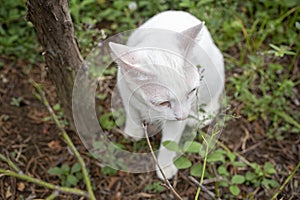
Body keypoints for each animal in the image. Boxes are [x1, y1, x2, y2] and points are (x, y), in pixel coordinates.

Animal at [109, 10, 224, 180]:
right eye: (163, 102)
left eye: (191, 91)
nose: (183, 116)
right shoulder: (124, 86)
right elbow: (131, 111)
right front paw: (133, 131)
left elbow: (169, 143)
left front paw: (165, 167)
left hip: (215, 72)